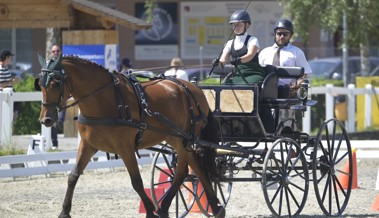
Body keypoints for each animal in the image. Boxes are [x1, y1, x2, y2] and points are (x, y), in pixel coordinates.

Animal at [35, 55, 226, 218]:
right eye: (41, 85)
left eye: (55, 83)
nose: (46, 119)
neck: (104, 99)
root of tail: (193, 88)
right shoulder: (88, 145)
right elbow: (73, 175)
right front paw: (64, 211)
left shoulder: (125, 148)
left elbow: (137, 182)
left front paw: (149, 211)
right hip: (176, 138)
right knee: (197, 167)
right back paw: (215, 208)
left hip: (183, 139)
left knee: (182, 172)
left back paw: (163, 208)